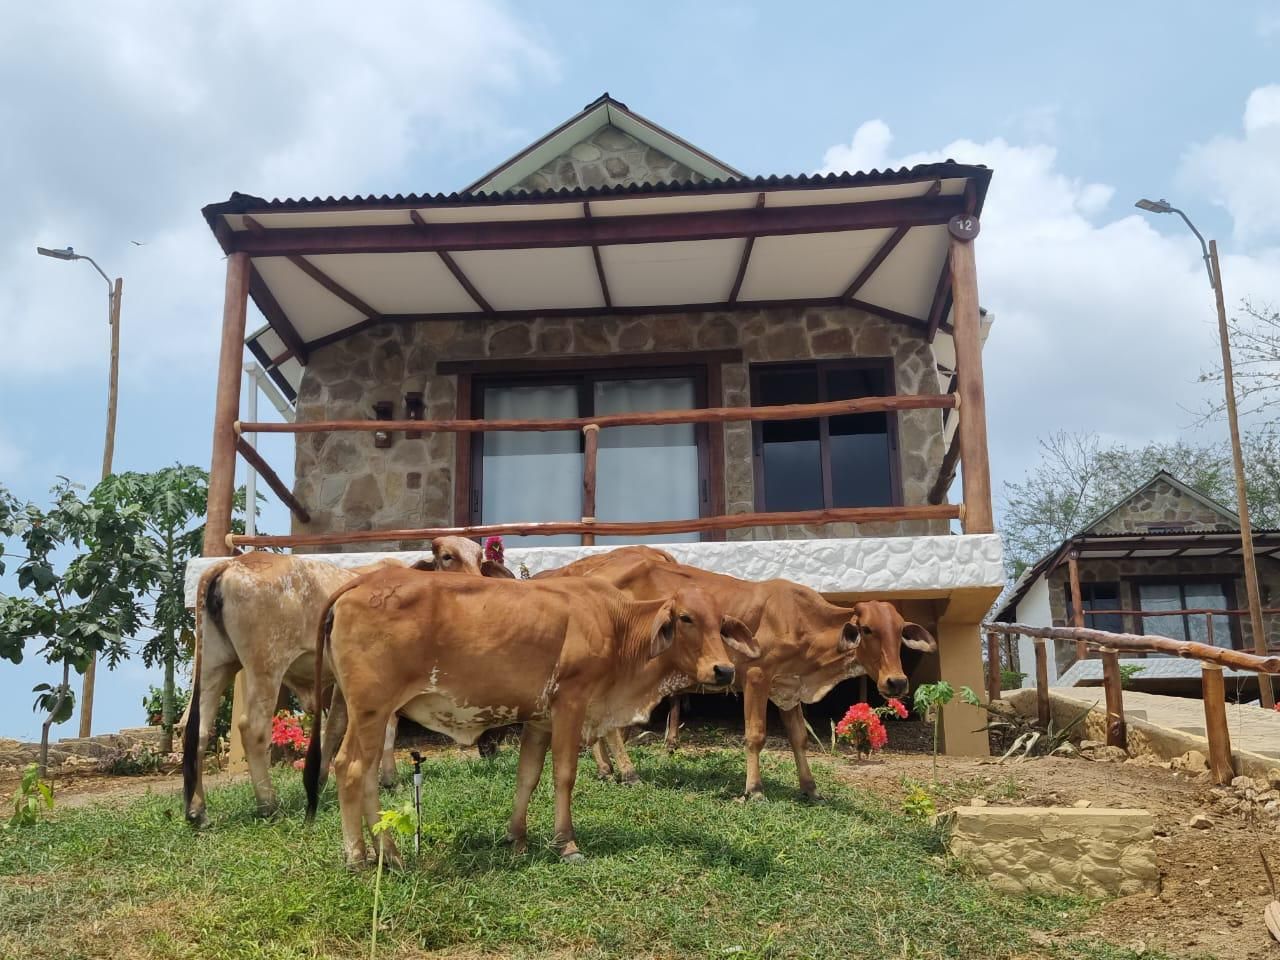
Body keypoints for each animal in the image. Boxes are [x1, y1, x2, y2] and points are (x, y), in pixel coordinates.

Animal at [182, 537, 507, 826]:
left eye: (479, 558)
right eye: (448, 557)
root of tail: (230, 565)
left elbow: (336, 728)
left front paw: (320, 779)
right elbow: (384, 730)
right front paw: (388, 779)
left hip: (215, 664)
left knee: (197, 730)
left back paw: (197, 811)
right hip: (265, 668)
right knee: (253, 729)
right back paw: (268, 804)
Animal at [303, 569, 759, 867]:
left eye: (721, 625)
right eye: (685, 618)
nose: (723, 671)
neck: (617, 626)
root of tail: (362, 581)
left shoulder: (539, 718)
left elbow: (528, 776)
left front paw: (517, 838)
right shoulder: (571, 703)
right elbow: (564, 775)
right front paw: (567, 843)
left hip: (369, 713)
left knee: (365, 774)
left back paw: (391, 854)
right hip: (371, 708)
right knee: (349, 768)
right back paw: (358, 859)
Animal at [540, 549, 936, 799]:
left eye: (900, 631)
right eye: (867, 630)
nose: (896, 682)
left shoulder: (787, 687)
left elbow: (799, 738)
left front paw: (809, 788)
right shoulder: (757, 677)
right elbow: (756, 735)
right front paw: (754, 790)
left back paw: (608, 769)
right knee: (612, 727)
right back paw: (627, 772)